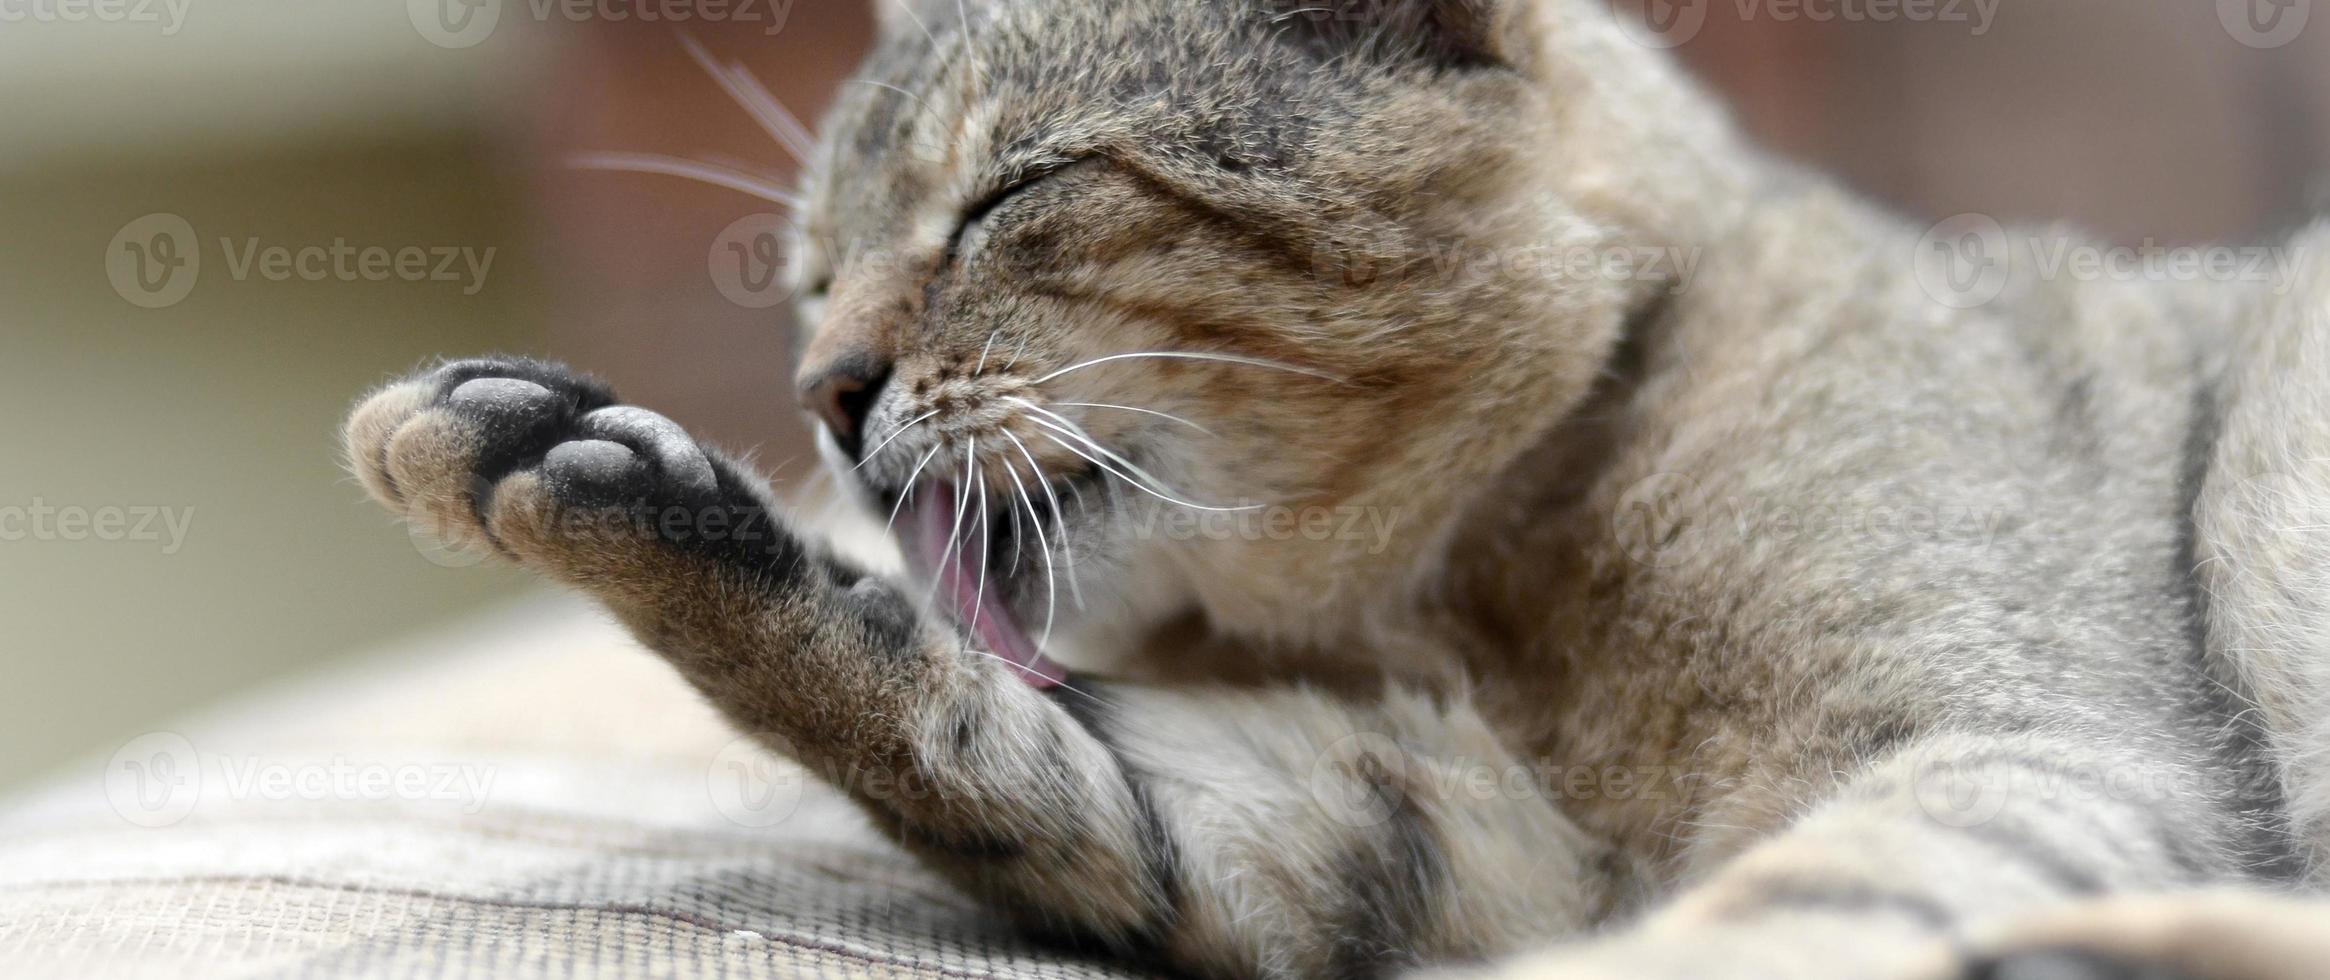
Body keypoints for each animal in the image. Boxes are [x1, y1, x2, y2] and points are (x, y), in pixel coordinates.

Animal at [344, 3, 2330, 973]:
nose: (817, 396)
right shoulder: (1447, 835)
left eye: (1009, 198)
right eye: (810, 267)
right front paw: (588, 476)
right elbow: (996, 742)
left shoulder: (2035, 745)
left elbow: (1775, 920)